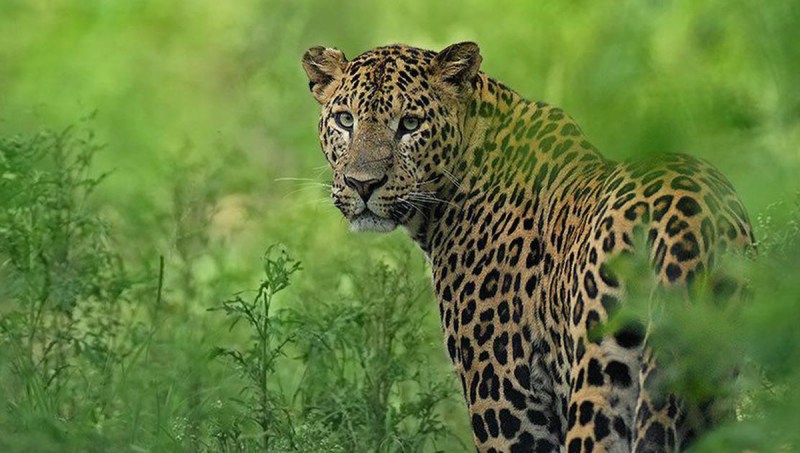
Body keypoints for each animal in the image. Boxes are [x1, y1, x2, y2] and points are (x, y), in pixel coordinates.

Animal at [301, 42, 754, 452]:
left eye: (410, 124)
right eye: (345, 120)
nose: (362, 184)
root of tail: (689, 218)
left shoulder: (506, 401)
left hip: (600, 381)